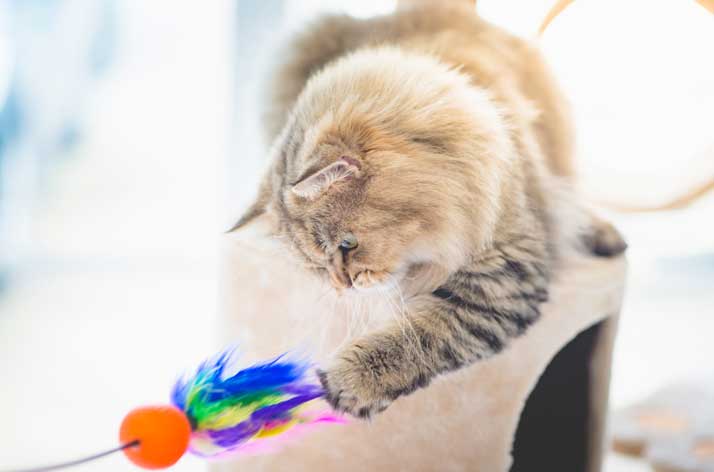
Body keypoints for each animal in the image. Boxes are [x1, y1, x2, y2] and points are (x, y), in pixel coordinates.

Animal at [229, 0, 624, 420]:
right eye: (317, 266)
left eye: (348, 245)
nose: (344, 285)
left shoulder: (501, 277)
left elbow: (418, 335)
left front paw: (344, 385)